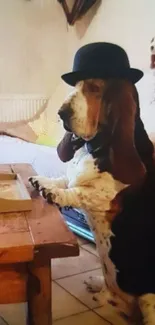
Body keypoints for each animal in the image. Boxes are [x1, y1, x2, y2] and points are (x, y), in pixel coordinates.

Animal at [28, 79, 154, 324]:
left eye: (95, 88)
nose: (61, 113)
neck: (93, 147)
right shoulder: (70, 176)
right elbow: (65, 180)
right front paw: (43, 181)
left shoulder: (107, 199)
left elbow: (80, 192)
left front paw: (52, 192)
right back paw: (97, 285)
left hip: (148, 299)